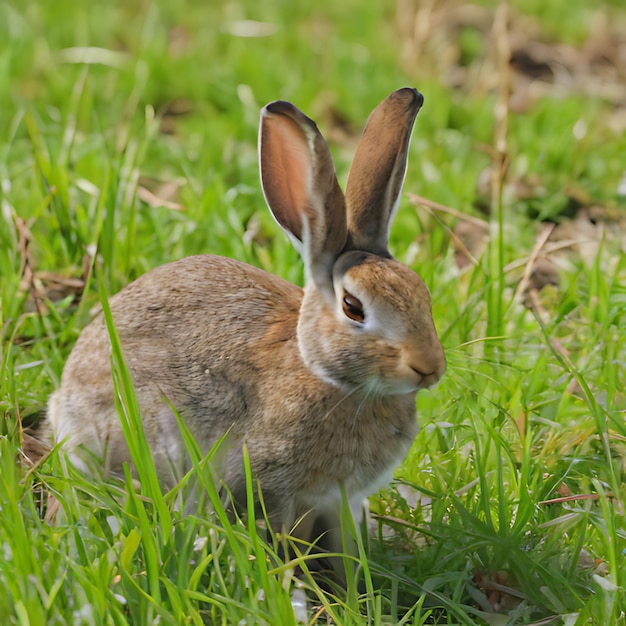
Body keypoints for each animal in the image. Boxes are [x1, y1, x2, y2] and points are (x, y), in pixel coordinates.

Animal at [45, 86, 444, 544]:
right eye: (352, 307)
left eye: (422, 292)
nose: (429, 367)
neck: (326, 375)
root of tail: (61, 400)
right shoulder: (273, 487)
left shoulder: (341, 501)